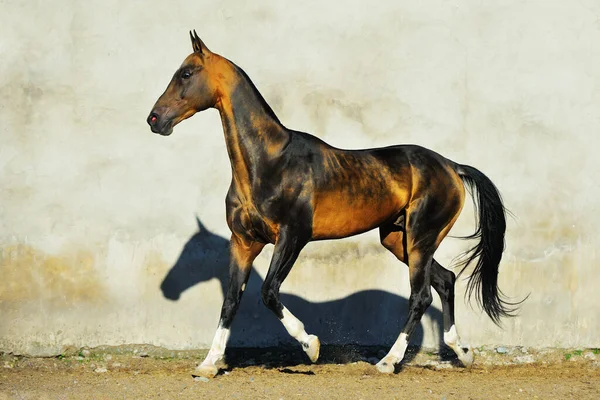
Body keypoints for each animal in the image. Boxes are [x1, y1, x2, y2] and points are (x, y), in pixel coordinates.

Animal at [146, 31, 520, 378]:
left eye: (186, 73)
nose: (154, 119)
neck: (269, 163)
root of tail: (452, 166)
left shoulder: (292, 237)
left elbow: (269, 292)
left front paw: (311, 346)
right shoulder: (243, 243)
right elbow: (231, 301)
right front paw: (208, 365)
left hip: (420, 239)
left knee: (422, 296)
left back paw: (388, 362)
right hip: (399, 240)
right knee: (445, 280)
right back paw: (464, 353)